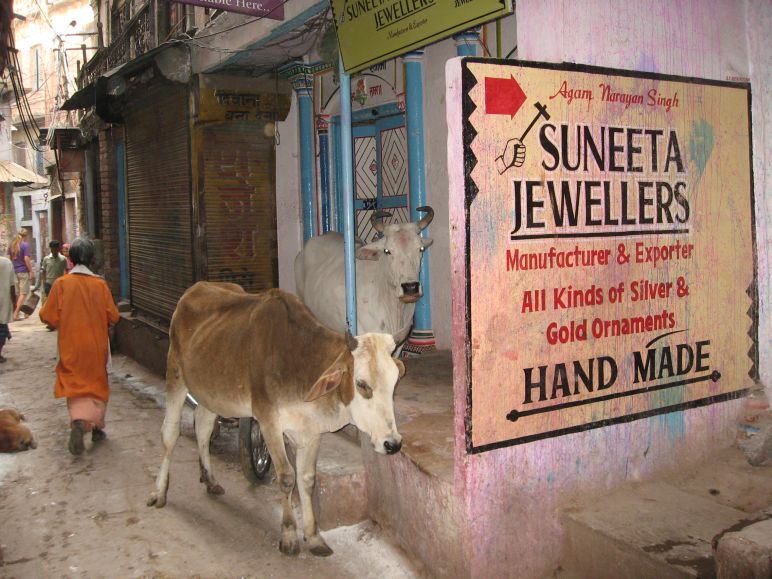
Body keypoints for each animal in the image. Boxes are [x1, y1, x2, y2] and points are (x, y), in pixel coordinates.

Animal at [147, 284, 408, 556]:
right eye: (362, 384)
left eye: (394, 384)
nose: (393, 443)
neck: (300, 363)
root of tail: (195, 289)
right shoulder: (268, 422)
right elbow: (286, 477)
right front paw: (289, 535)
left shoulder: (311, 432)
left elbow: (307, 479)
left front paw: (313, 536)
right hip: (175, 374)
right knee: (170, 433)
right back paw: (159, 491)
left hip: (210, 393)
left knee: (204, 429)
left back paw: (209, 479)